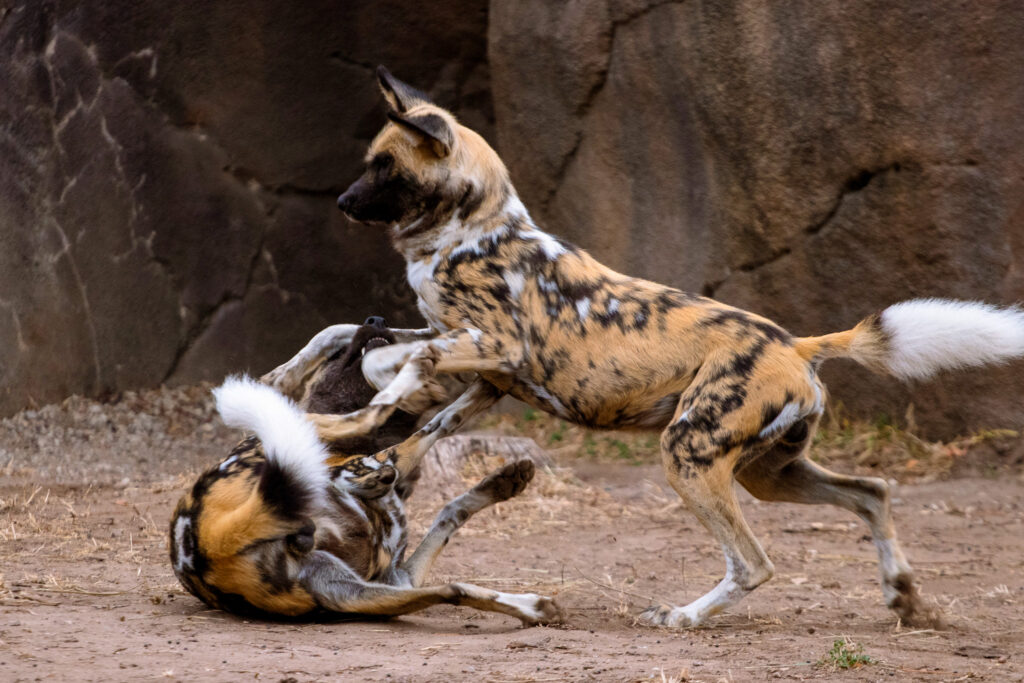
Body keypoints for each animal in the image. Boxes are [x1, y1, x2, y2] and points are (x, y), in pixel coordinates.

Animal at [173, 317, 565, 622]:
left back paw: (533, 608)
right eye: (336, 357)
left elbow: (449, 510)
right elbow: (443, 421)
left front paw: (504, 481)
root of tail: (211, 546)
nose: (376, 319)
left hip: (352, 592)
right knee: (387, 446)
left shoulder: (399, 577)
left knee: (451, 589)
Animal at [274, 69, 1024, 630]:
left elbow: (393, 365)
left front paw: (359, 419)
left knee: (754, 562)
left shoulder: (495, 349)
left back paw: (684, 617)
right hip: (768, 471)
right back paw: (903, 596)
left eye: (384, 168)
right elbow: (355, 344)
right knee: (870, 491)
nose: (341, 201)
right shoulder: (486, 375)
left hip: (688, 452)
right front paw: (300, 388)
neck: (467, 234)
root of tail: (795, 342)